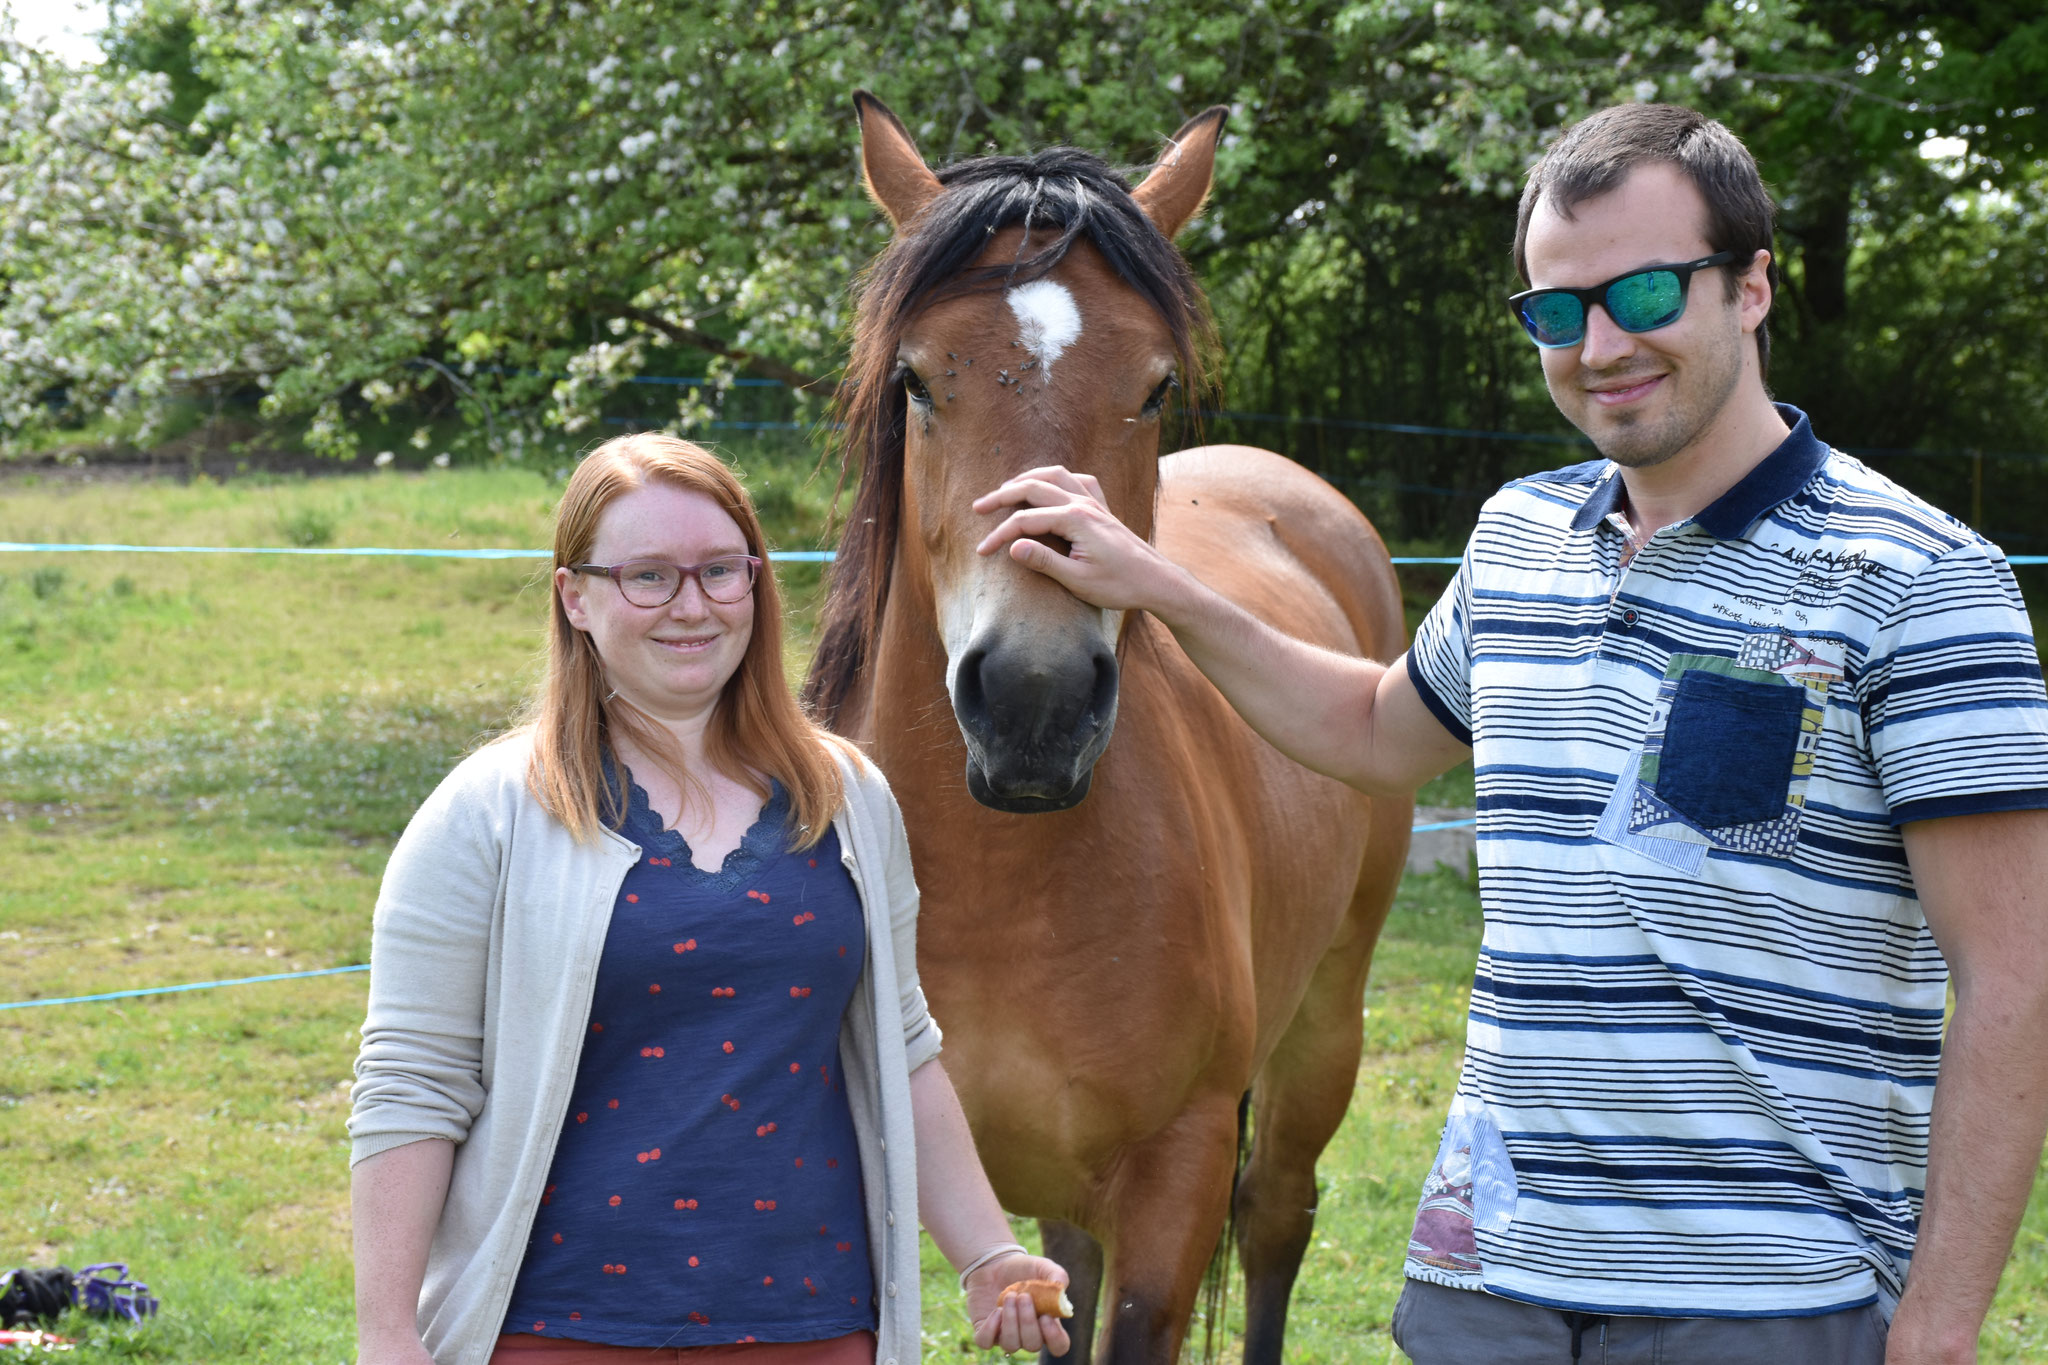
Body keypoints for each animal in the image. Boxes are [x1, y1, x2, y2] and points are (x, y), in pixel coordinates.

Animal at [806, 98, 1417, 1365]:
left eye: (1152, 383)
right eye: (915, 380)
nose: (1031, 702)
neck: (999, 893)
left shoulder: (1173, 1180)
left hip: (1321, 1029)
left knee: (1277, 1220)